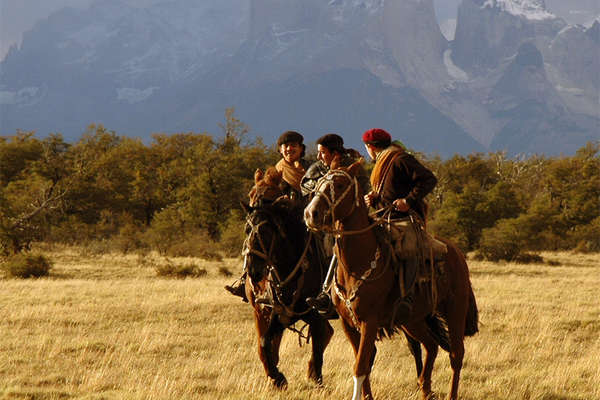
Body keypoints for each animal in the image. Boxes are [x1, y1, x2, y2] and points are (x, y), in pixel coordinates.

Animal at [239, 167, 336, 390]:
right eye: (247, 229)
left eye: (266, 231)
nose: (253, 269)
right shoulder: (270, 313)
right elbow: (265, 345)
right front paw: (276, 378)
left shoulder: (315, 314)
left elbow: (317, 350)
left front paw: (316, 380)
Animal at [304, 162, 478, 400]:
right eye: (318, 183)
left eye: (339, 185)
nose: (311, 214)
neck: (359, 262)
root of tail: (457, 253)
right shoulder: (348, 324)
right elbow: (363, 365)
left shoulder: (369, 322)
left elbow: (360, 367)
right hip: (412, 320)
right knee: (431, 346)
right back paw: (425, 389)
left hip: (455, 310)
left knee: (456, 354)